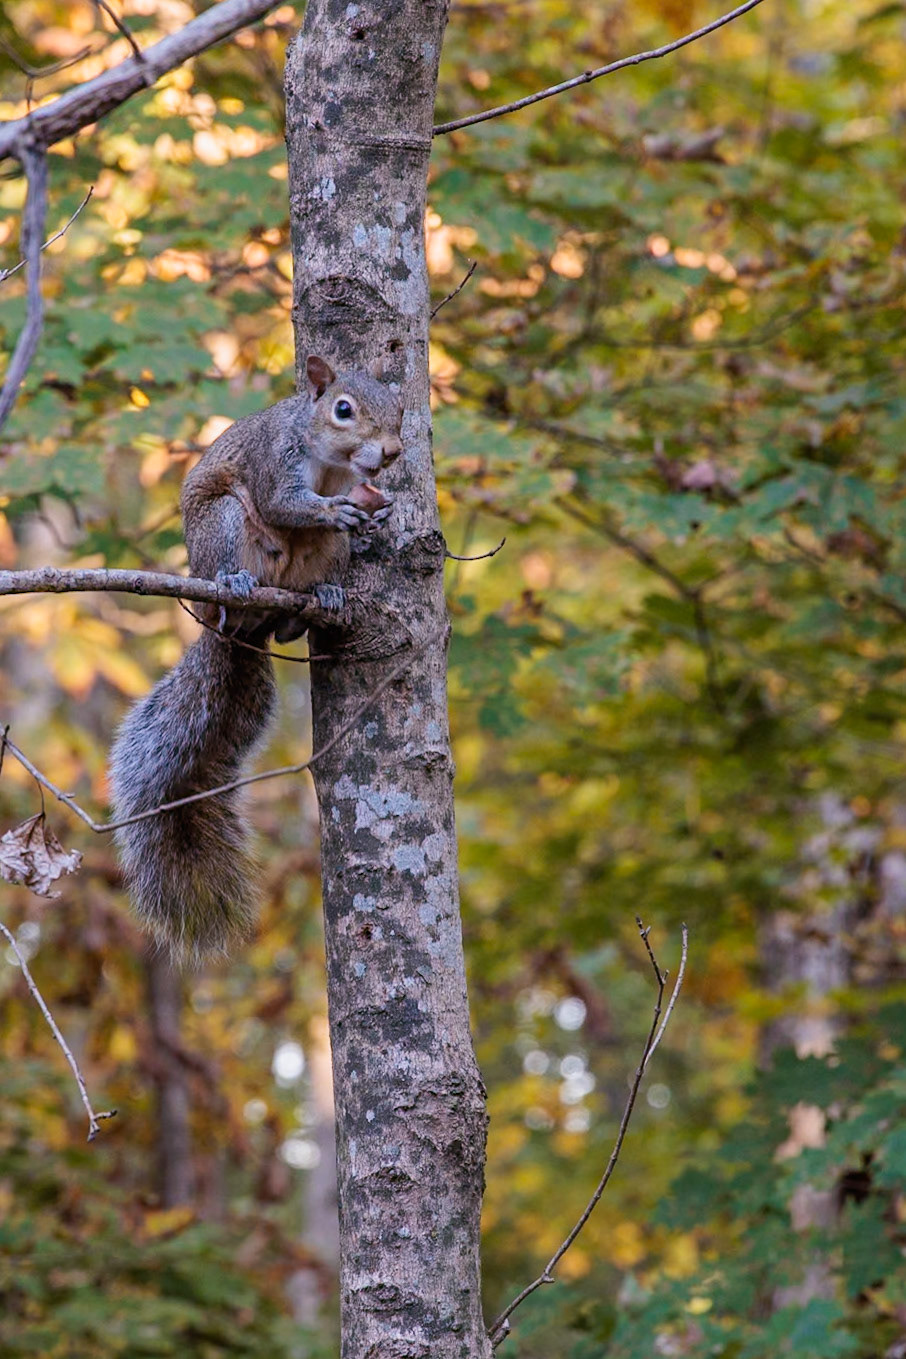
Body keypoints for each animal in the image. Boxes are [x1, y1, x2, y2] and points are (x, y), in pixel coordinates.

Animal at [109, 355, 403, 963]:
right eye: (343, 409)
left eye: (402, 412)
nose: (390, 453)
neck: (331, 464)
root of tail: (242, 629)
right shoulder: (274, 462)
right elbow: (282, 503)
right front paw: (333, 508)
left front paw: (378, 510)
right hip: (223, 527)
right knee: (235, 566)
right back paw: (235, 585)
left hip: (325, 555)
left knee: (296, 608)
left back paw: (318, 602)